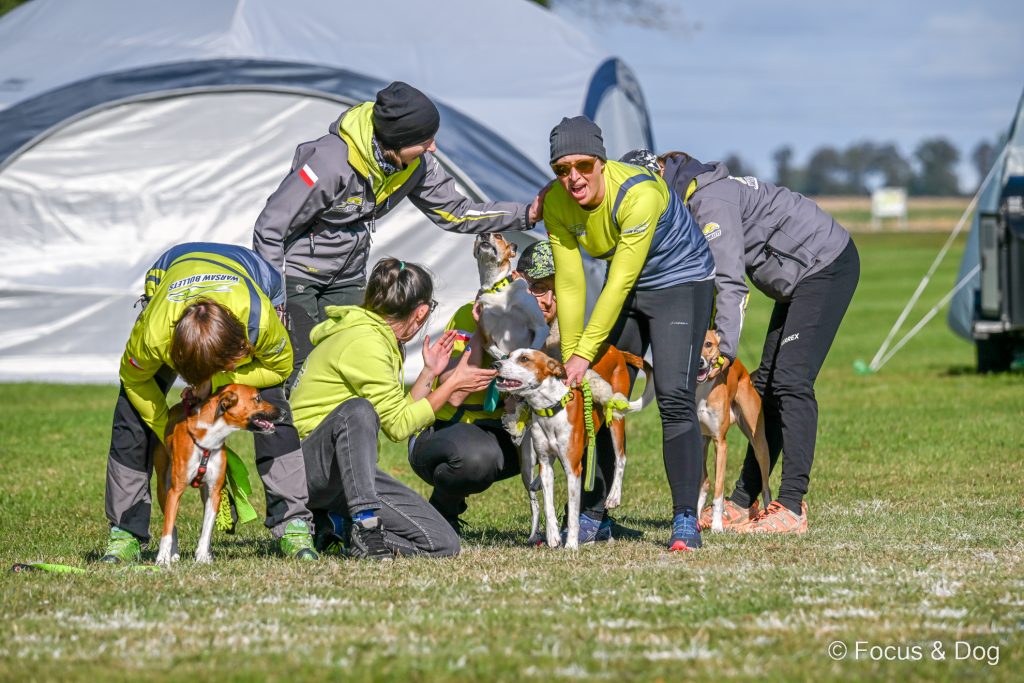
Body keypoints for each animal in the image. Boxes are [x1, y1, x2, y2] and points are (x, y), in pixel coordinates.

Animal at [151, 385, 280, 565]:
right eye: (257, 398)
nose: (283, 412)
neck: (210, 438)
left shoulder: (214, 492)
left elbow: (206, 530)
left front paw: (202, 558)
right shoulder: (175, 491)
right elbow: (168, 529)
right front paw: (163, 559)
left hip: (204, 493)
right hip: (163, 490)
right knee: (172, 525)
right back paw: (174, 554)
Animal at [491, 348, 651, 548]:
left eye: (524, 359)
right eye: (508, 356)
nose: (495, 365)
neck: (550, 410)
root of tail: (614, 349)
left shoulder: (573, 469)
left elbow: (574, 511)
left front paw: (572, 544)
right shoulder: (545, 464)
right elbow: (548, 505)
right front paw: (553, 536)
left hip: (615, 416)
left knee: (621, 458)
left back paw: (614, 496)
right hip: (527, 462)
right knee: (534, 501)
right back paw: (534, 532)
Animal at [696, 331, 770, 532]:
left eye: (708, 344)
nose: (700, 362)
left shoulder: (720, 443)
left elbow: (719, 488)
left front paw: (717, 525)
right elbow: (702, 482)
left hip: (759, 444)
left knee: (765, 486)